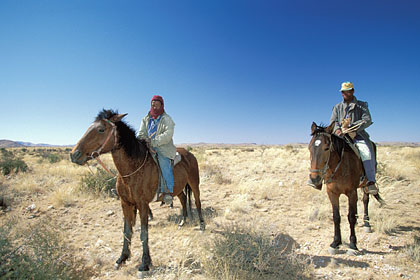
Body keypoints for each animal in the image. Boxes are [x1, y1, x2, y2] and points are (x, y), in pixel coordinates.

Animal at [70, 109, 205, 272]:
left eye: (101, 129)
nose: (74, 154)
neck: (133, 169)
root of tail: (189, 154)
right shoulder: (125, 203)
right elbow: (127, 231)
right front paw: (122, 258)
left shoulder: (143, 204)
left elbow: (143, 233)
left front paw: (145, 263)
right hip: (178, 188)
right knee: (184, 199)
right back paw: (183, 222)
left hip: (194, 183)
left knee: (197, 202)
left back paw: (202, 225)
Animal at [306, 122, 382, 254]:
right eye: (310, 147)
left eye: (326, 148)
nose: (314, 179)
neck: (339, 167)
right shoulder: (332, 193)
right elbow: (336, 217)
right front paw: (335, 243)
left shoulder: (351, 192)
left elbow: (350, 216)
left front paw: (352, 244)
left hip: (366, 185)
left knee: (365, 200)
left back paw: (367, 224)